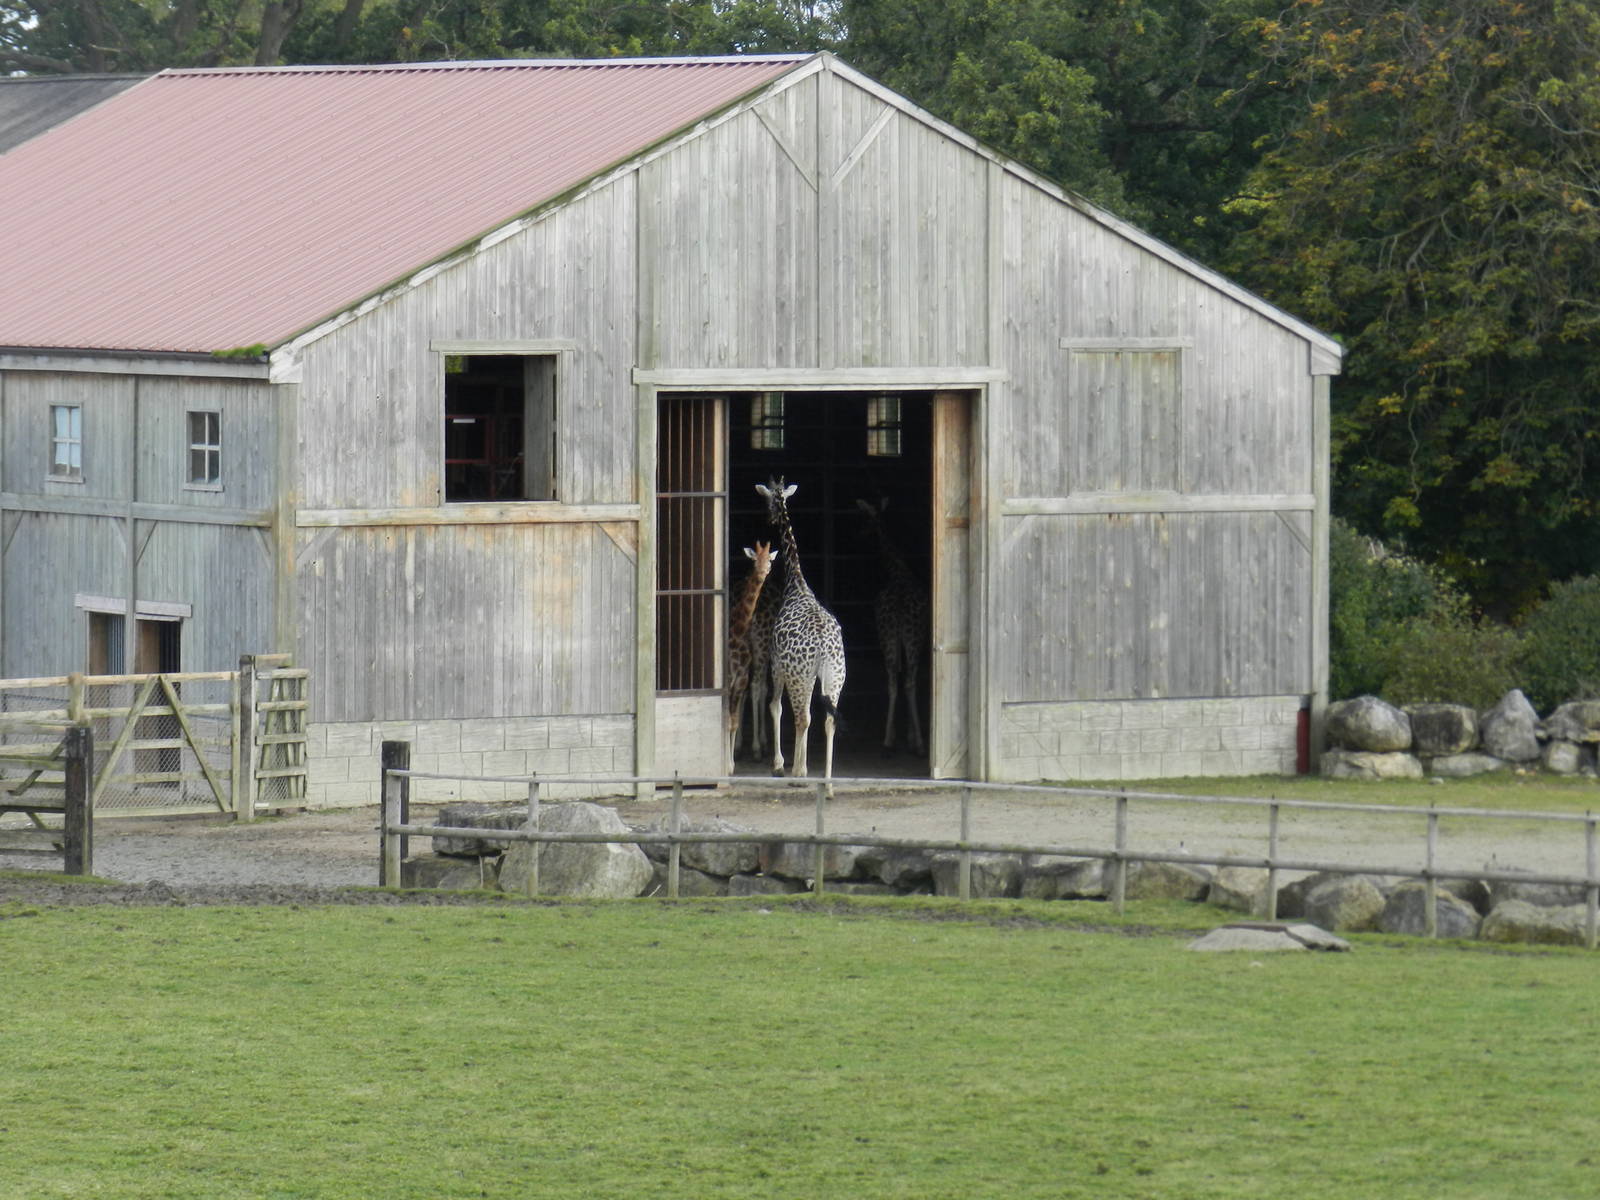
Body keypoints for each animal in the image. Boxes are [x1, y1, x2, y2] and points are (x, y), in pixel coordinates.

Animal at [756, 478, 845, 789]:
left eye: (769, 501)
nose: (769, 519)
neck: (796, 584)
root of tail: (823, 646)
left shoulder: (777, 663)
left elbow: (775, 706)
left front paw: (780, 765)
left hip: (801, 674)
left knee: (802, 716)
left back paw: (798, 773)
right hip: (835, 675)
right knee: (829, 718)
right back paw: (827, 784)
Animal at [856, 497, 928, 756]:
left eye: (867, 518)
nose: (860, 533)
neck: (897, 569)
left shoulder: (896, 640)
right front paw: (909, 736)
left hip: (889, 637)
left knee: (893, 680)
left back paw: (890, 740)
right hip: (911, 638)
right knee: (907, 681)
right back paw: (918, 743)